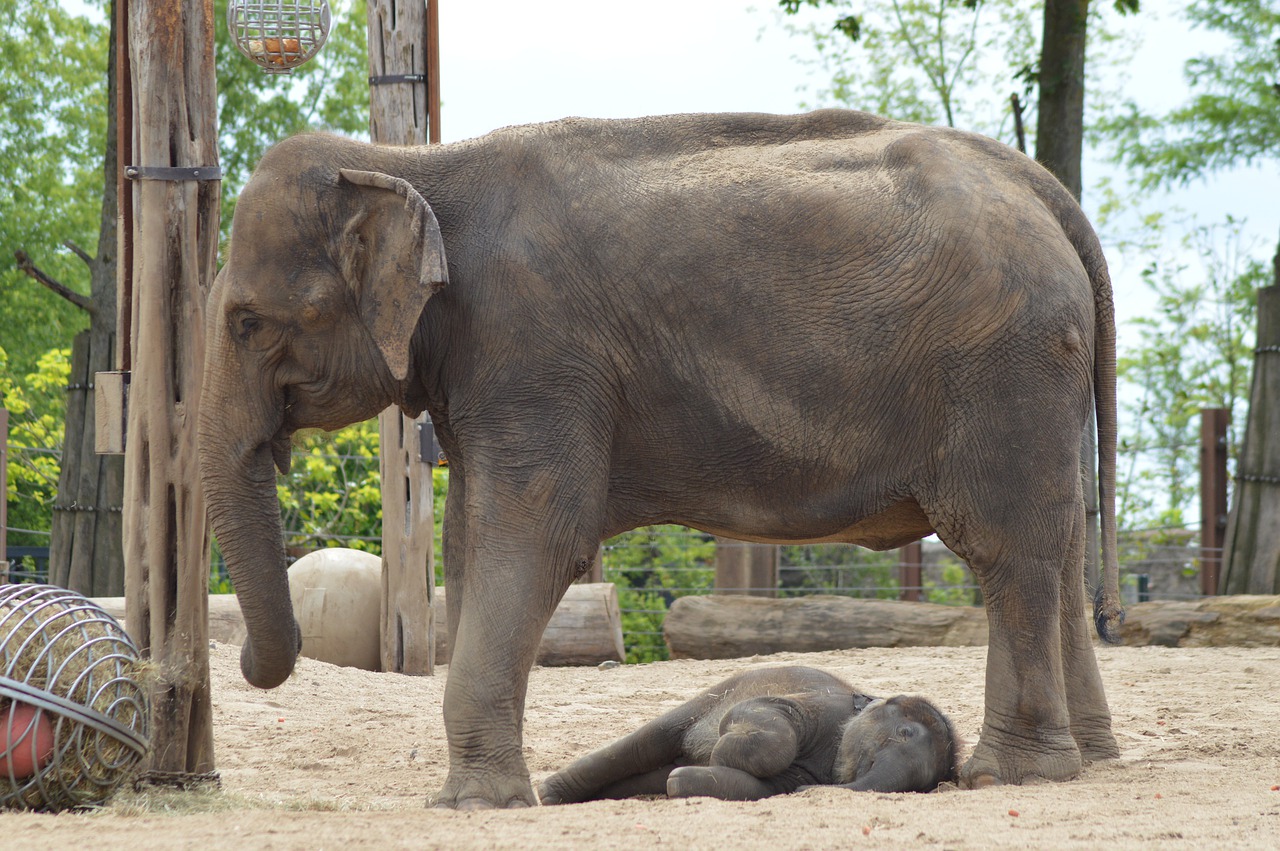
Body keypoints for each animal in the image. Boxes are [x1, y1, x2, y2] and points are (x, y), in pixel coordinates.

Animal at [535, 665, 957, 803]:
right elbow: (763, 714)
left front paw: (685, 779)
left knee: (649, 771)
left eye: (920, 785)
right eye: (904, 732)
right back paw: (551, 795)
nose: (809, 792)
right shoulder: (819, 707)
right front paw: (723, 745)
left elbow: (758, 788)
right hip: (714, 695)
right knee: (646, 744)